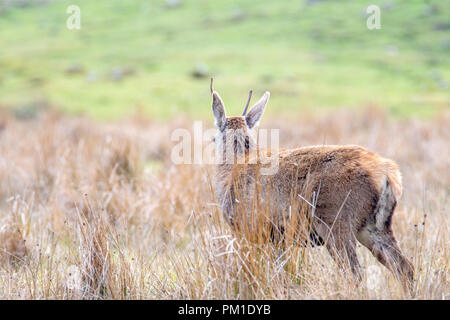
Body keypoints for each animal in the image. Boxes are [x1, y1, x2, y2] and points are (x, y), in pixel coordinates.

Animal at [211, 79, 414, 290]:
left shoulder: (246, 227)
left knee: (355, 273)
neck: (231, 170)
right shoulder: (277, 236)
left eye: (213, 138)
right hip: (375, 225)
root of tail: (389, 173)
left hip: (336, 220)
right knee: (404, 267)